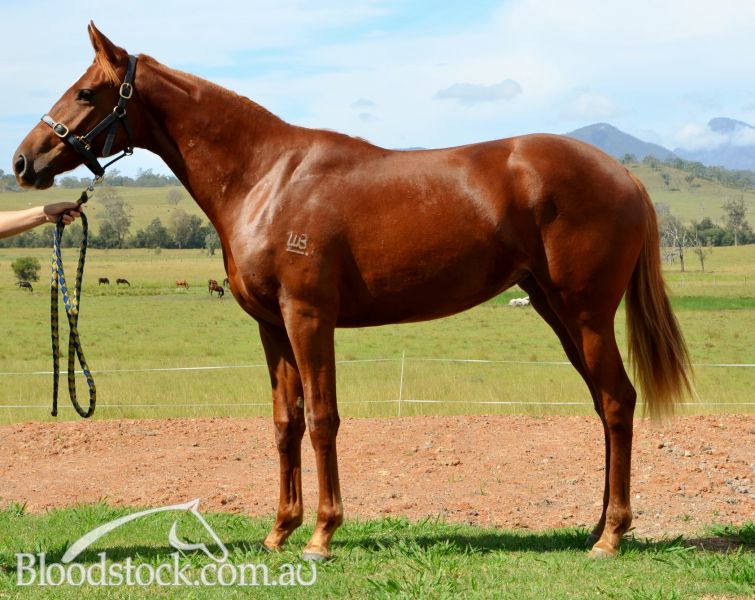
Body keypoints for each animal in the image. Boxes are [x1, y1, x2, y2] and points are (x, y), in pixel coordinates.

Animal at [12, 24, 693, 561]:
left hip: (586, 315)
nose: (23, 162)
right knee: (604, 407)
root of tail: (623, 174)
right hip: (558, 313)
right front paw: (279, 531)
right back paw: (596, 528)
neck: (267, 177)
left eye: (86, 92)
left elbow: (322, 419)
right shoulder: (271, 327)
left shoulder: (309, 318)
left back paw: (612, 537)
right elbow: (285, 422)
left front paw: (321, 534)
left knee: (617, 403)